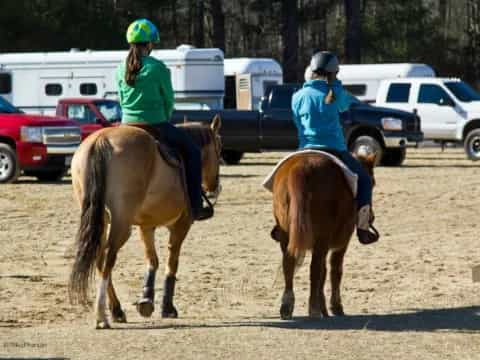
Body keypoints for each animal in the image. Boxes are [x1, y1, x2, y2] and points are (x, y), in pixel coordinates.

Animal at [68, 116, 222, 330]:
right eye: (219, 148)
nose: (215, 186)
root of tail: (101, 140)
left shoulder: (146, 226)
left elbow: (152, 260)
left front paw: (146, 300)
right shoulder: (181, 225)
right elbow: (171, 263)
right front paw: (168, 308)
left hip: (101, 220)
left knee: (99, 259)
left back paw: (116, 310)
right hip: (121, 224)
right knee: (108, 259)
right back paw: (102, 316)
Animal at [270, 150, 376, 320]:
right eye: (372, 182)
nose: (371, 217)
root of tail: (302, 167)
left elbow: (324, 272)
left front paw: (324, 308)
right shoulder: (341, 242)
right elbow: (335, 270)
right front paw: (335, 307)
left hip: (287, 235)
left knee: (289, 264)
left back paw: (287, 307)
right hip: (323, 238)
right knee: (315, 269)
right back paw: (313, 309)